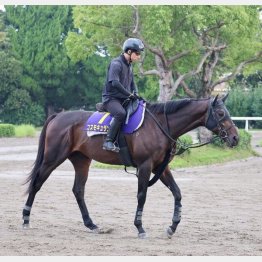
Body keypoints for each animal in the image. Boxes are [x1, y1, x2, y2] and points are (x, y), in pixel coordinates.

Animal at [22, 93, 239, 237]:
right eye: (221, 113)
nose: (236, 138)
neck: (160, 124)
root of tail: (58, 116)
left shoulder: (161, 168)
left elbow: (177, 193)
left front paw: (172, 226)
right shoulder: (145, 166)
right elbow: (142, 195)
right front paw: (140, 227)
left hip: (82, 161)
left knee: (78, 190)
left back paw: (91, 224)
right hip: (52, 159)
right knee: (37, 183)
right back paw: (25, 218)